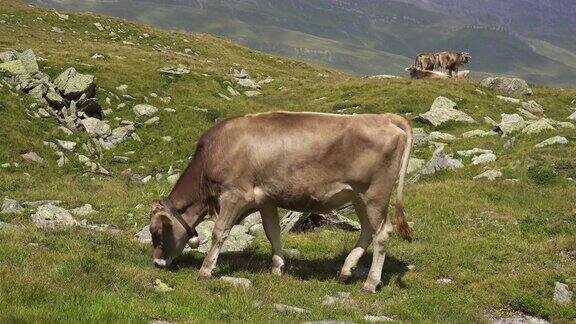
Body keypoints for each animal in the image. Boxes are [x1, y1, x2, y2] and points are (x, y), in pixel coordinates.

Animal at [146, 111, 412, 294]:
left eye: (156, 231)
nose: (157, 263)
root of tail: (385, 117)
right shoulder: (266, 200)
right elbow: (272, 232)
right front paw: (277, 267)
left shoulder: (234, 195)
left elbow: (219, 232)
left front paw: (205, 270)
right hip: (358, 197)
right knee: (368, 230)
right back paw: (347, 270)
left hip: (374, 194)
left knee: (382, 234)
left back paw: (370, 283)